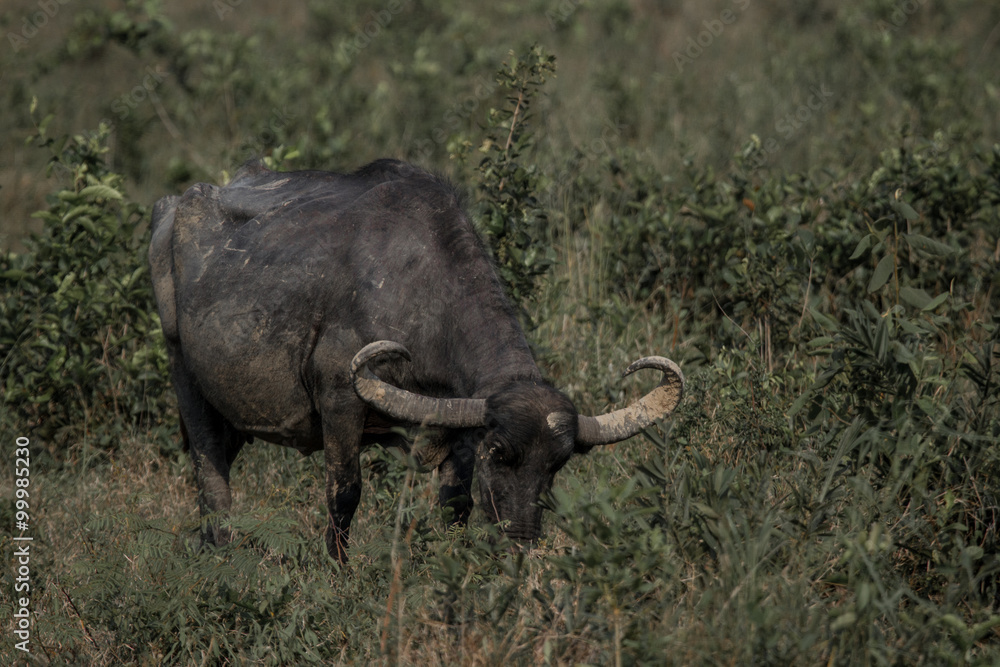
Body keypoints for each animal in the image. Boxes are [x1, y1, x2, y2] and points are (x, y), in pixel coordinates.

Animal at [149, 159, 683, 562]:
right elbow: (344, 493)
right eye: (498, 453)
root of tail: (174, 207)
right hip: (185, 378)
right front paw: (338, 572)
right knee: (210, 472)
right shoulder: (341, 399)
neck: (420, 288)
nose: (520, 542)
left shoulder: (458, 420)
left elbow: (456, 504)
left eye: (557, 465)